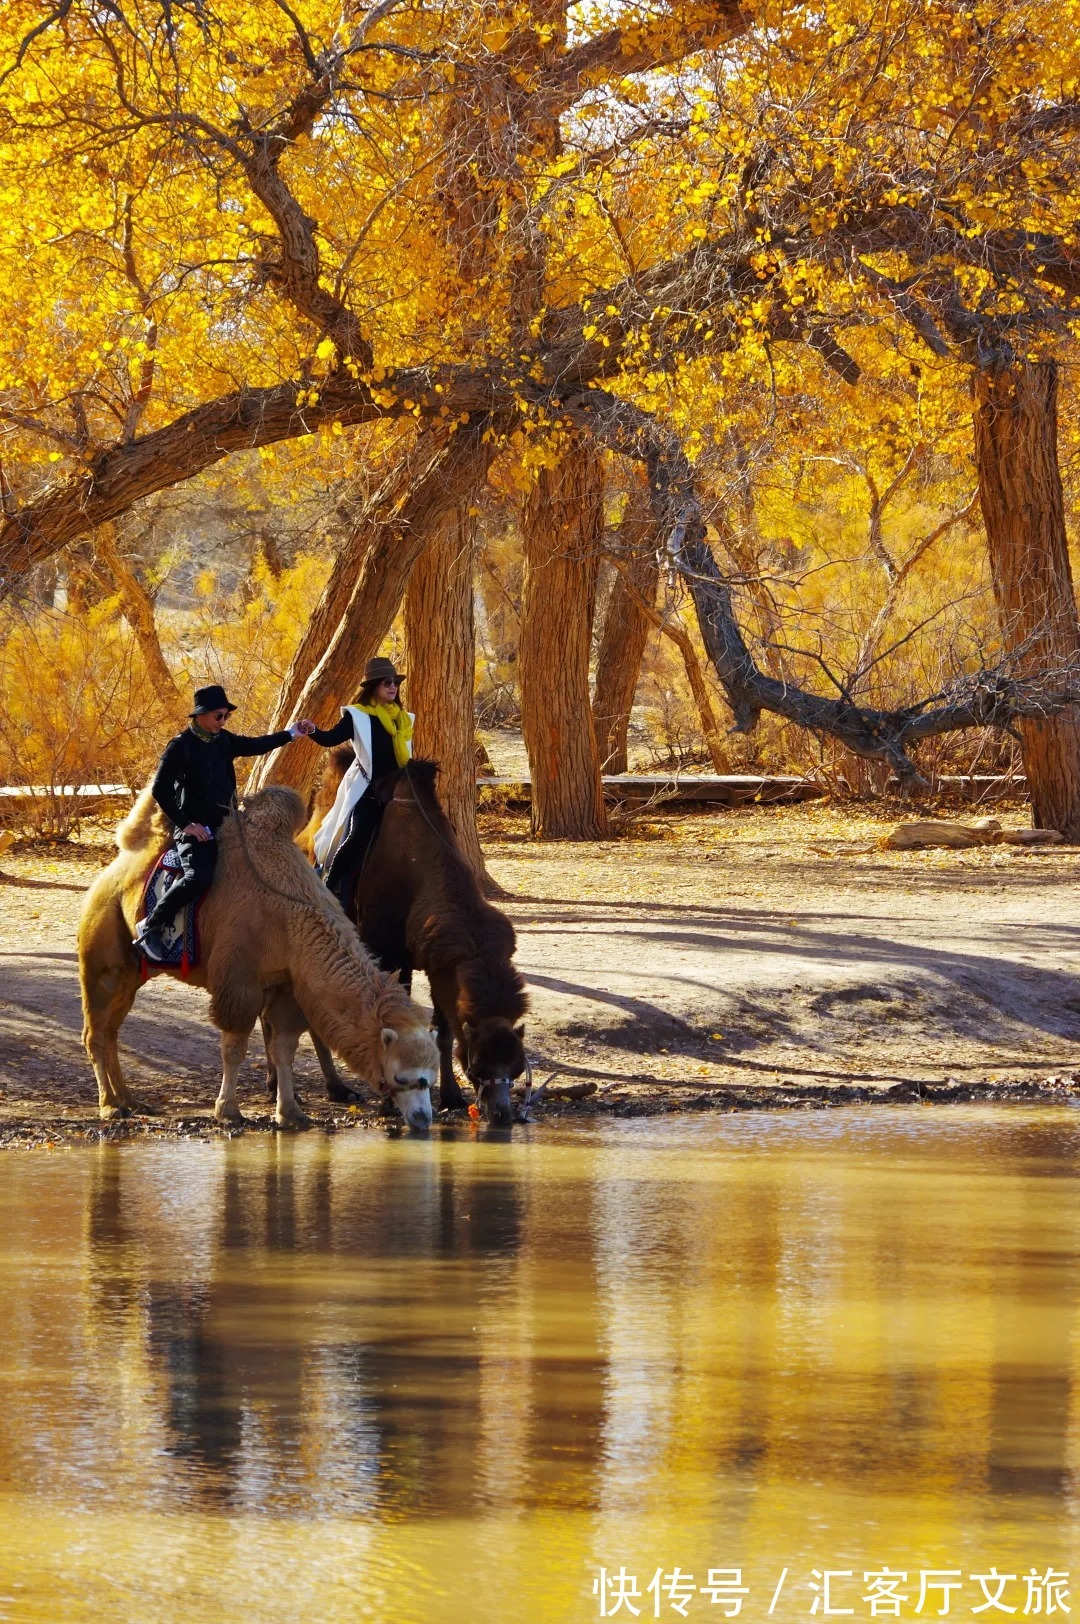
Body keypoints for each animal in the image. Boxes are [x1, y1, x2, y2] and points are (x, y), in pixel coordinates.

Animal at [75, 786, 441, 1130]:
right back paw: (110, 1106)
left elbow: (284, 1048)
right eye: (402, 1076)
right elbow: (235, 1048)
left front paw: (291, 1113)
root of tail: (113, 870)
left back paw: (131, 1101)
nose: (423, 1118)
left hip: (132, 973)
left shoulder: (288, 983)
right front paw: (228, 1111)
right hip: (102, 953)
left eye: (431, 1074)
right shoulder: (238, 981)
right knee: (95, 1032)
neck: (290, 917)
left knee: (111, 1031)